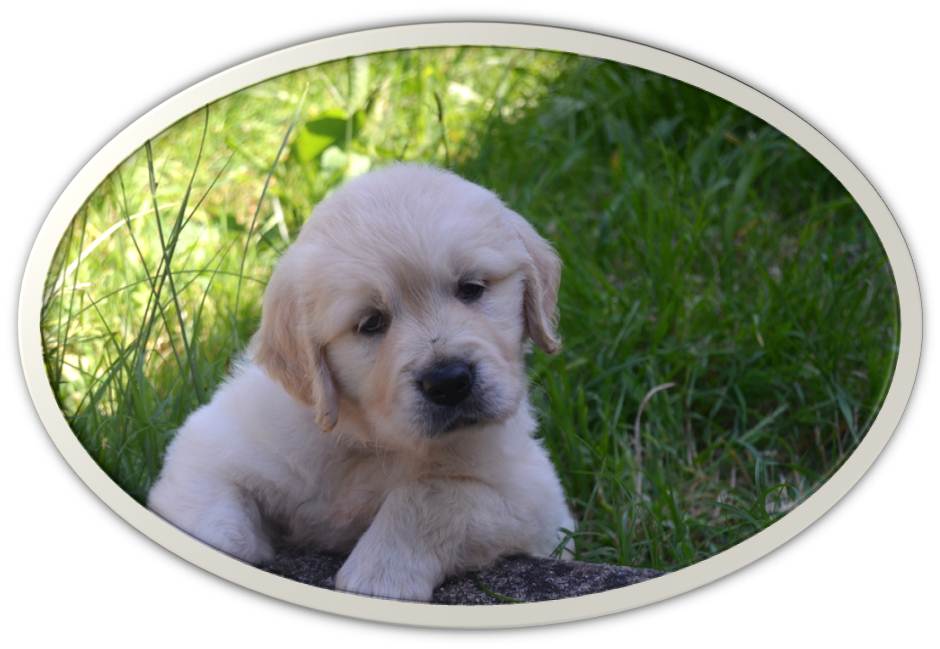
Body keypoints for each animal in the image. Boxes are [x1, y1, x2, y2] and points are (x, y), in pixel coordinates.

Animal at [148, 164, 575, 601]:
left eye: (471, 289)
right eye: (371, 323)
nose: (449, 381)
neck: (373, 441)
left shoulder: (537, 502)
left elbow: (434, 493)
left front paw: (380, 575)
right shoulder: (210, 445)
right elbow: (214, 523)